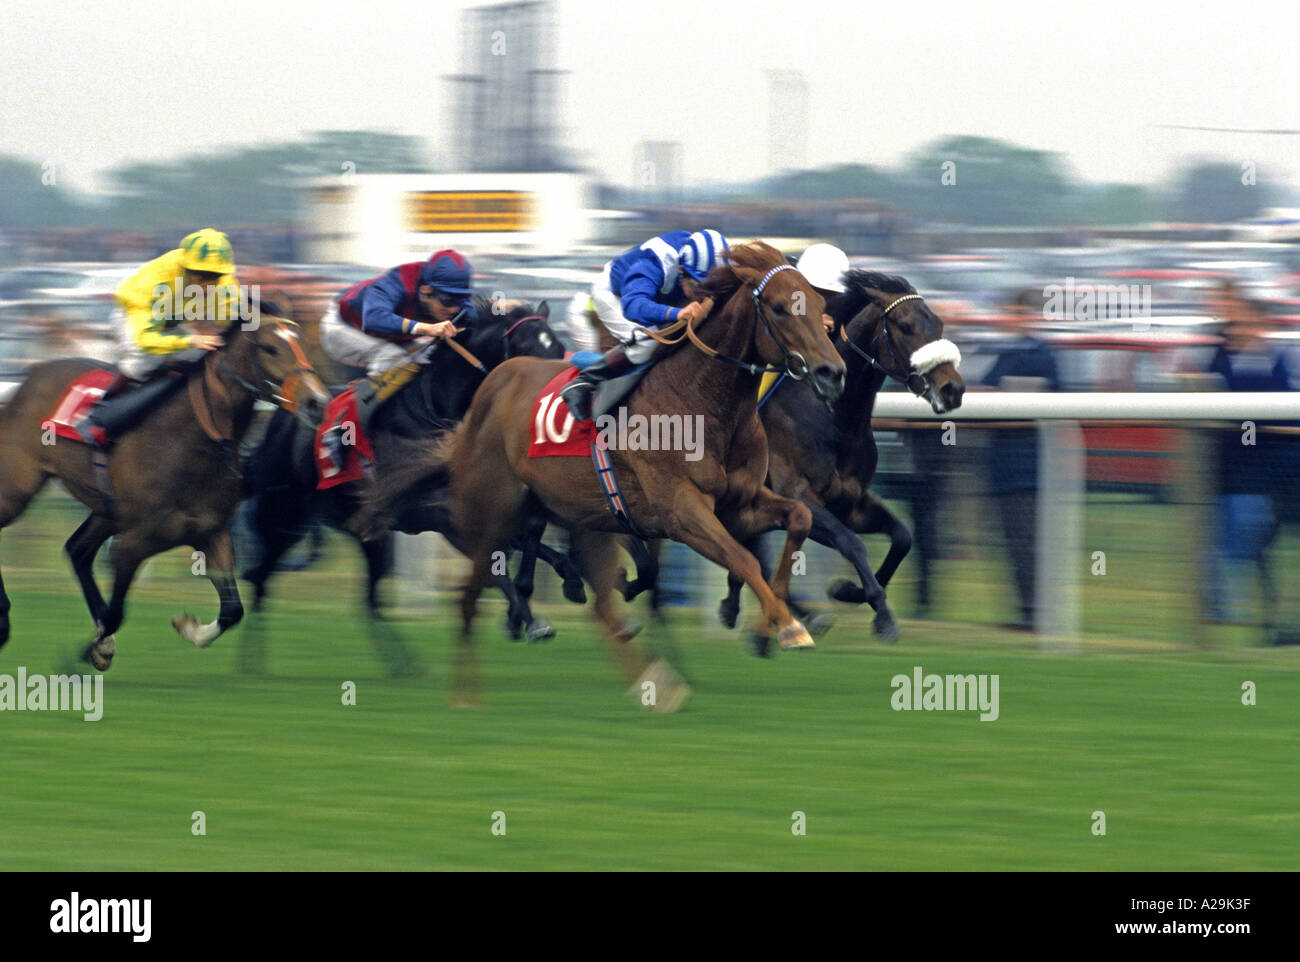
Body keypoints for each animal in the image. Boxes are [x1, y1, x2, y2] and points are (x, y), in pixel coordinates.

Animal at [0, 315, 330, 670]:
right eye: (270, 348)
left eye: (302, 343)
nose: (317, 403)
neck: (191, 441)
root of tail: (30, 373)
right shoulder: (133, 542)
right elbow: (117, 614)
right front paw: (87, 655)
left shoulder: (210, 530)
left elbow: (232, 609)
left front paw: (188, 628)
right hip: (17, 489)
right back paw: (5, 621)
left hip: (106, 510)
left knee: (78, 551)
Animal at [241, 296, 577, 634]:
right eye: (526, 350)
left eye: (560, 349)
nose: (555, 406)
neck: (436, 409)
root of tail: (285, 413)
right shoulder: (437, 511)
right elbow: (497, 559)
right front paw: (528, 618)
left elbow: (530, 532)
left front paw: (562, 581)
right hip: (283, 515)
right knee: (260, 575)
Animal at [436, 240, 847, 707]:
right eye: (778, 308)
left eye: (820, 305)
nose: (832, 373)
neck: (700, 400)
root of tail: (493, 382)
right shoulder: (680, 511)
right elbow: (742, 558)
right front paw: (789, 627)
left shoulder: (738, 505)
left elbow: (800, 518)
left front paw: (769, 629)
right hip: (492, 510)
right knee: (470, 593)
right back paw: (465, 695)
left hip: (587, 519)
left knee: (601, 609)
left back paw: (655, 682)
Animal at [712, 270, 967, 642]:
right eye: (905, 326)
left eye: (939, 323)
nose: (953, 389)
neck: (837, 416)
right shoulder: (800, 495)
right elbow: (851, 543)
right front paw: (882, 615)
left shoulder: (850, 502)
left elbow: (902, 537)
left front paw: (848, 591)